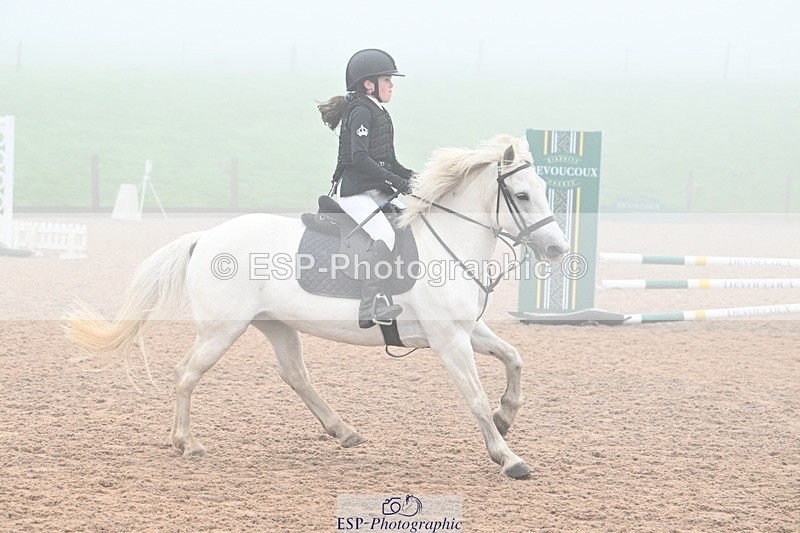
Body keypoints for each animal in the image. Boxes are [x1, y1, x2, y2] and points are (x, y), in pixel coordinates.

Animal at [63, 134, 570, 478]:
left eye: (543, 189)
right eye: (521, 195)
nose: (557, 249)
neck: (449, 243)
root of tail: (205, 237)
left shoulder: (466, 331)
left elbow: (514, 359)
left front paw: (506, 417)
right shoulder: (449, 340)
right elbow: (475, 396)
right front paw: (508, 458)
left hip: (276, 325)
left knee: (294, 375)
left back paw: (342, 430)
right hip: (222, 329)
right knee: (187, 372)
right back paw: (187, 443)